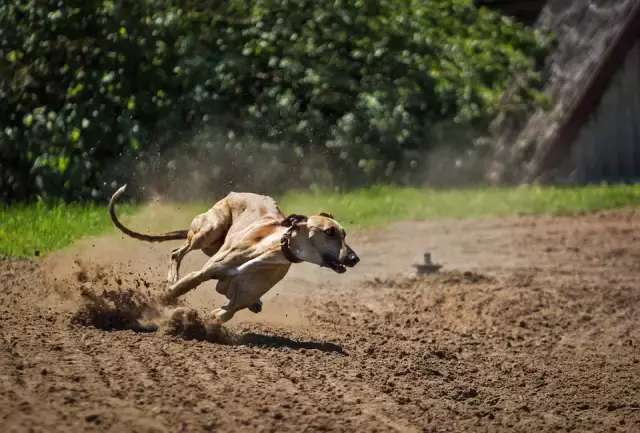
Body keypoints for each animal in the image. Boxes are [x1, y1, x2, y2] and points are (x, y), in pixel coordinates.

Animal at [110, 186, 360, 320]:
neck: (269, 251)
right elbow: (181, 287)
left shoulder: (238, 299)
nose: (354, 259)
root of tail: (236, 192)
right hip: (209, 231)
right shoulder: (203, 273)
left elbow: (226, 312)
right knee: (177, 252)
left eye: (345, 234)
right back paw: (172, 278)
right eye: (329, 232)